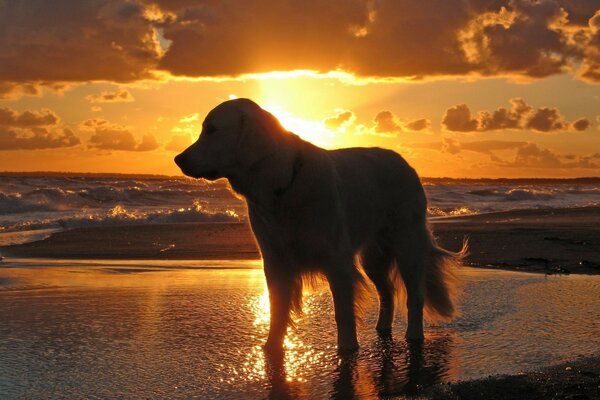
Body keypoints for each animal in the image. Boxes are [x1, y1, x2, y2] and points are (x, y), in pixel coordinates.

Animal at [176, 99, 466, 354]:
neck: (282, 186)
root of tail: (406, 164)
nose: (178, 159)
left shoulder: (336, 261)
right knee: (388, 293)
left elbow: (343, 312)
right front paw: (272, 348)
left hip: (407, 246)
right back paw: (382, 329)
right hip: (373, 257)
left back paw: (414, 336)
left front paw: (347, 350)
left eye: (212, 129)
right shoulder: (275, 260)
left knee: (414, 295)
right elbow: (277, 309)